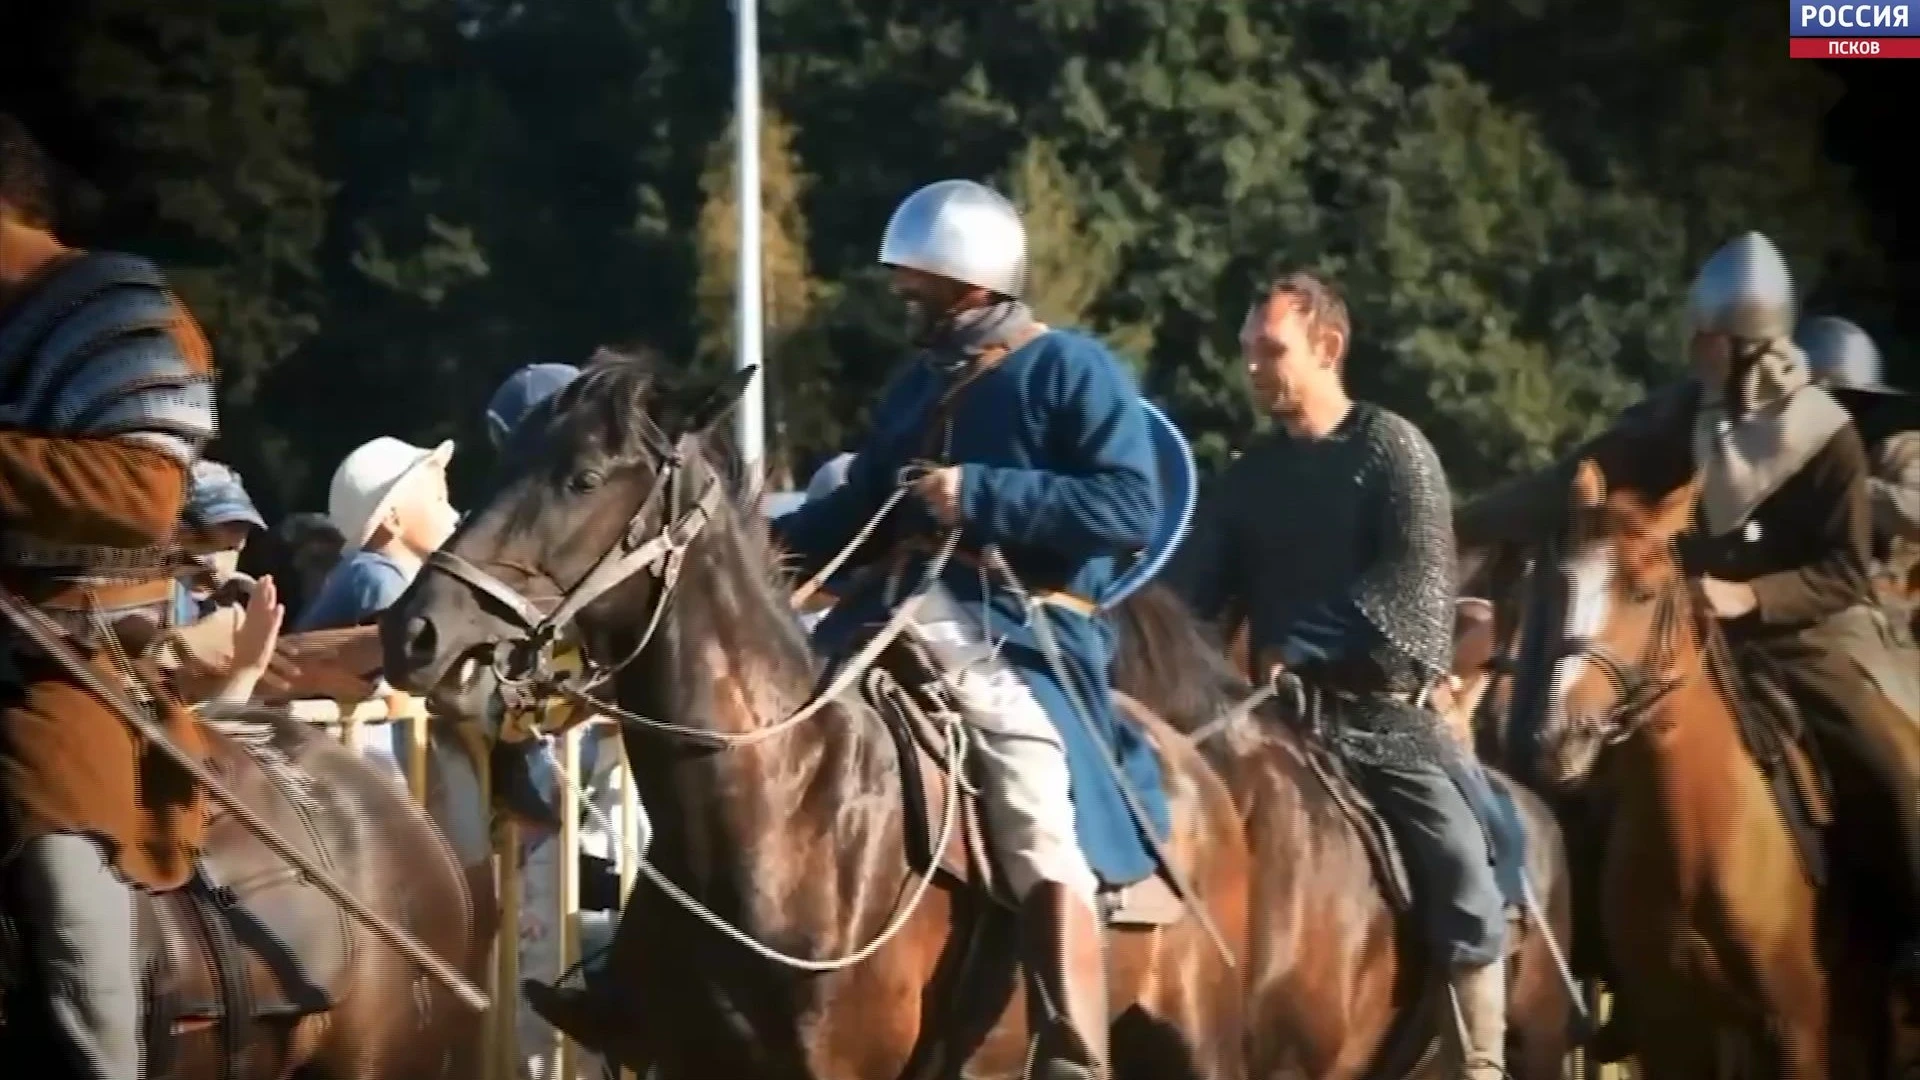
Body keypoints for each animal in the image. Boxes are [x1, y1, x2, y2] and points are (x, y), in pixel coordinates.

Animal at [1512, 449, 1904, 1068]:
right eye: (1557, 585)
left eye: (1645, 592)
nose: (1558, 739)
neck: (1698, 834)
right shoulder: (1670, 1034)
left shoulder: (1797, 1029)